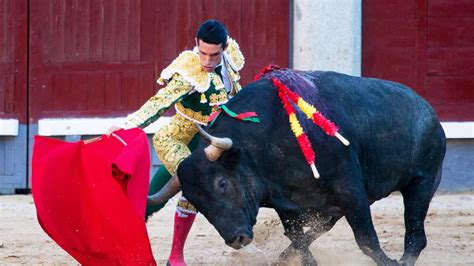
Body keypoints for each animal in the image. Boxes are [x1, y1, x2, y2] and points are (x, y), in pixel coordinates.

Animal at [176, 69, 446, 264]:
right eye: (196, 202)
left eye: (222, 183)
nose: (237, 239)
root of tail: (430, 113)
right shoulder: (284, 200)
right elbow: (297, 237)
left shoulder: (350, 189)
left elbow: (366, 240)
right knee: (322, 226)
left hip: (422, 183)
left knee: (415, 237)